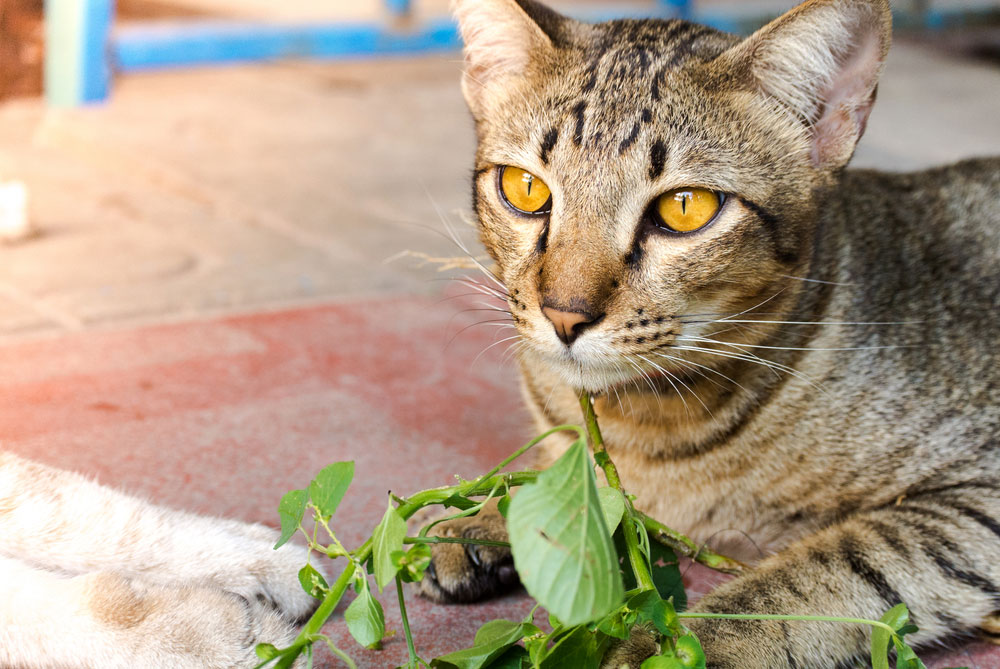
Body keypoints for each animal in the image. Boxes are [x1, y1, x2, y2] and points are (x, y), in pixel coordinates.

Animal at [418, 0, 1000, 664]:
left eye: (685, 208)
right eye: (525, 189)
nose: (564, 314)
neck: (648, 432)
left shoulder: (976, 494)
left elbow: (819, 573)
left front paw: (669, 644)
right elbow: (564, 477)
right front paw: (492, 514)